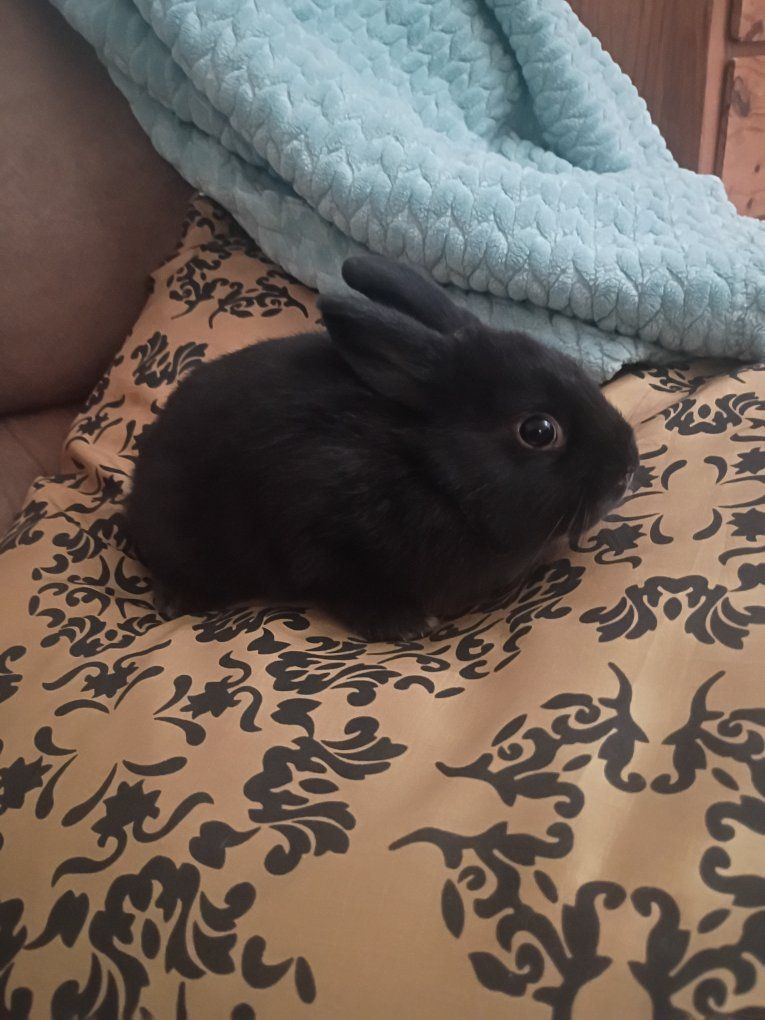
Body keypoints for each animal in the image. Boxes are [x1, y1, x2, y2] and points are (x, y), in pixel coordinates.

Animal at [126, 255, 638, 641]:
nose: (628, 467)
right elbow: (351, 593)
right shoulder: (322, 544)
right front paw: (408, 625)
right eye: (538, 431)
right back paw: (176, 599)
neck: (430, 471)